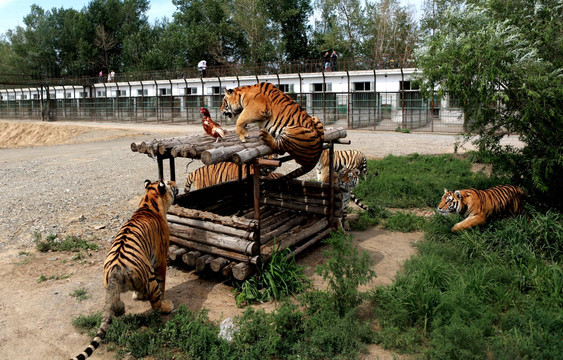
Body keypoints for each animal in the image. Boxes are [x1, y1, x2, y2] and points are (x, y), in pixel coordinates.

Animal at [70, 180, 177, 360]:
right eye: (170, 184)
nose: (176, 184)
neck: (149, 201)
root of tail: (116, 269)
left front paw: (138, 295)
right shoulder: (160, 260)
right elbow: (162, 284)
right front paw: (162, 299)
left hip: (109, 284)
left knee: (114, 303)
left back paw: (121, 308)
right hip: (149, 276)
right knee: (155, 303)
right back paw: (167, 306)